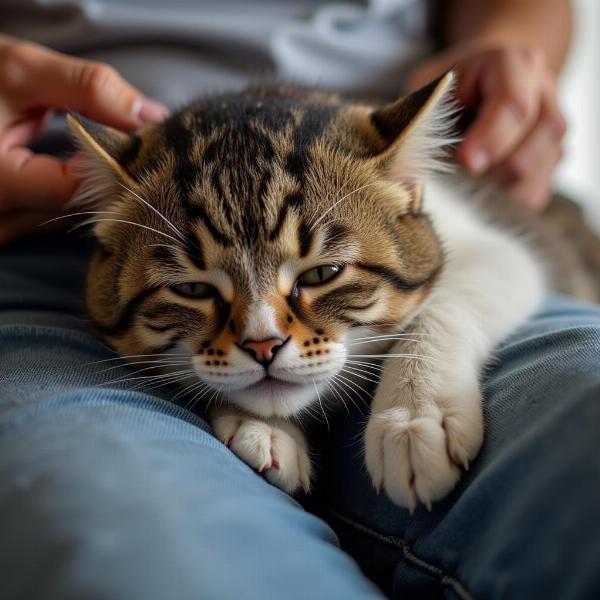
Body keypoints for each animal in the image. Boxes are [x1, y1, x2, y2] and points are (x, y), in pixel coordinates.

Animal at [67, 71, 600, 510]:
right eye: (193, 288)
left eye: (322, 274)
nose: (263, 346)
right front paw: (259, 424)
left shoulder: (500, 253)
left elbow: (443, 307)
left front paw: (414, 416)